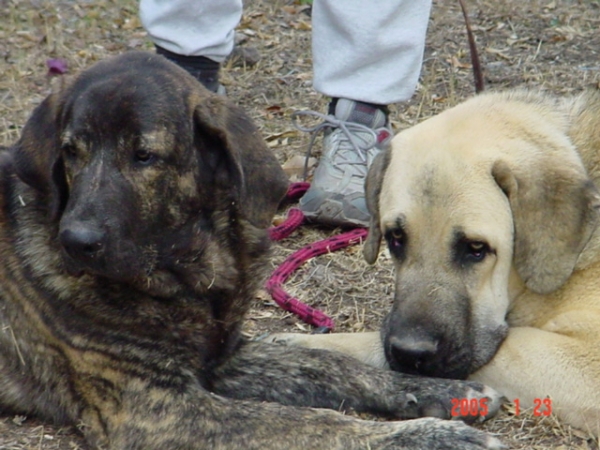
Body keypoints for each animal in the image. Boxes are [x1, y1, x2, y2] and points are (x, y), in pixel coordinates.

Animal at [2, 51, 504, 446]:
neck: (190, 272)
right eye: (71, 152)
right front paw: (427, 437)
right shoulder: (156, 408)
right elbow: (310, 423)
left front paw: (438, 391)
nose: (74, 241)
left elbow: (328, 365)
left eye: (144, 156)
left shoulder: (224, 357)